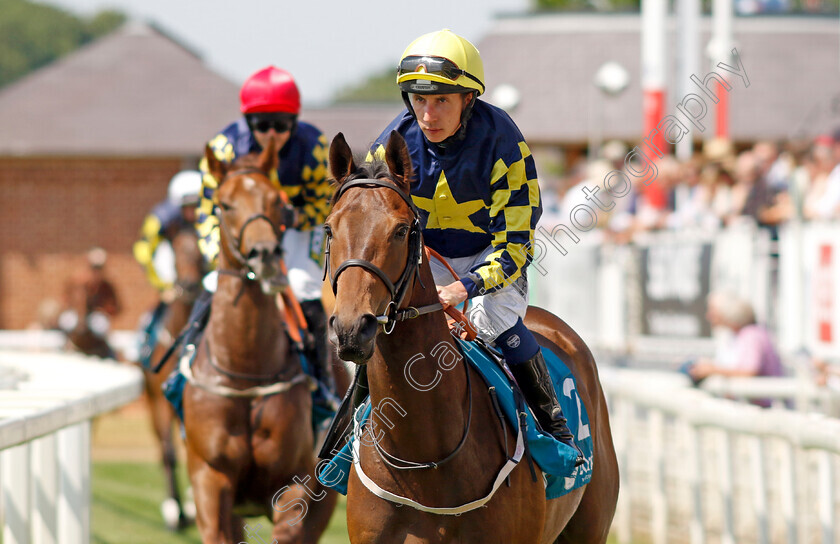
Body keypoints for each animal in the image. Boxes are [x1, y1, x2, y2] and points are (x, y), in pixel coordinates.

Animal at [184, 141, 338, 544]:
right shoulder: (209, 479)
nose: (266, 255)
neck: (245, 372)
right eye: (224, 204)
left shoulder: (294, 486)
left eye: (274, 201)